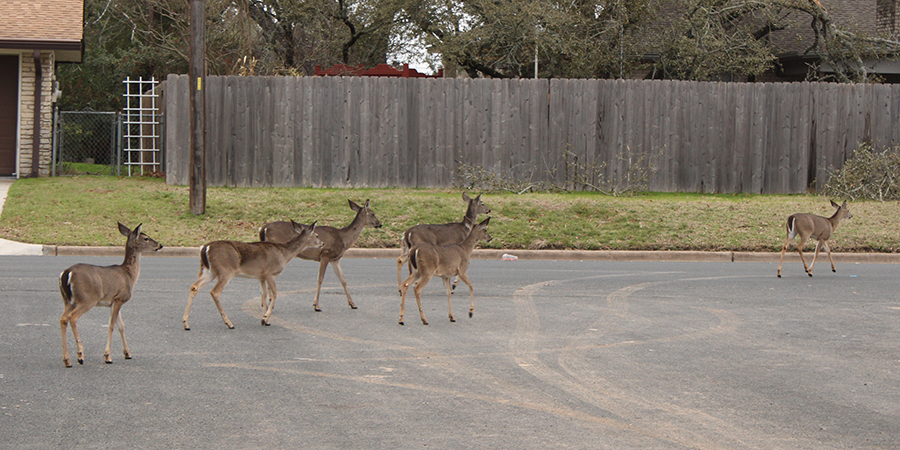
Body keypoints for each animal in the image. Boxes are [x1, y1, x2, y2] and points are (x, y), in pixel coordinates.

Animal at [59, 223, 163, 368]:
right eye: (146, 238)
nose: (160, 245)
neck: (129, 276)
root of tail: (66, 273)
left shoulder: (113, 302)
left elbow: (122, 326)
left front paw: (127, 353)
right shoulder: (120, 297)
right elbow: (112, 325)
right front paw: (108, 356)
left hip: (68, 300)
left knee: (63, 319)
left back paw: (67, 360)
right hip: (87, 299)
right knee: (72, 317)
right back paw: (80, 355)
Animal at [183, 220, 324, 328]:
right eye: (317, 235)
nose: (322, 243)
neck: (284, 254)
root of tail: (205, 248)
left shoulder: (260, 276)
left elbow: (264, 294)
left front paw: (265, 319)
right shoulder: (270, 273)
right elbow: (274, 294)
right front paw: (265, 318)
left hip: (209, 271)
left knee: (194, 287)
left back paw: (186, 323)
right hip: (225, 270)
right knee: (215, 292)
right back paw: (229, 323)